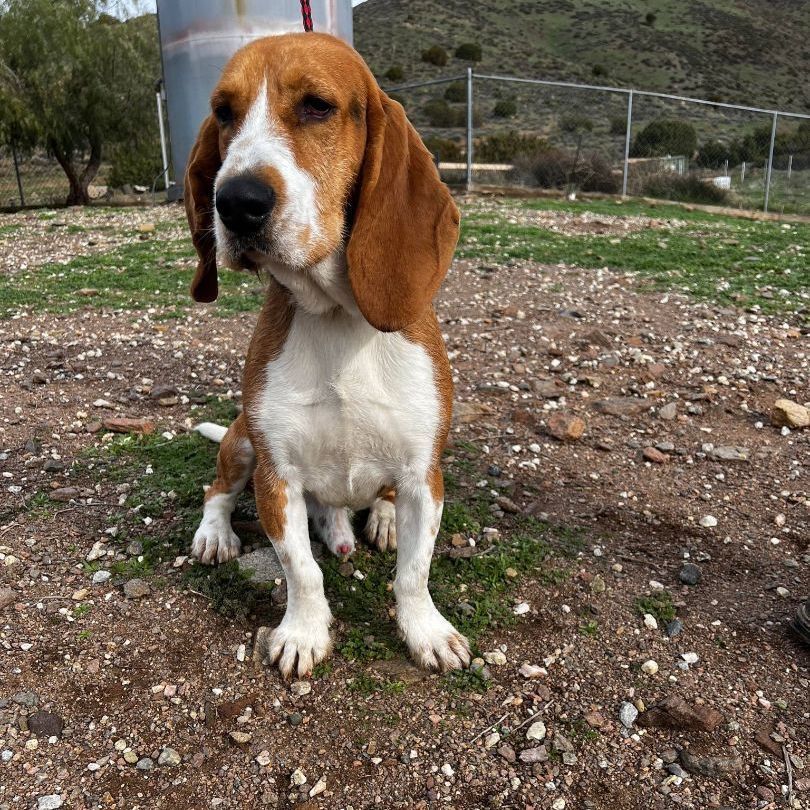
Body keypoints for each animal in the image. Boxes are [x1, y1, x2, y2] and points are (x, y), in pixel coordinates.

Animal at [182, 33, 468, 676]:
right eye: (223, 113)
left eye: (317, 106)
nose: (235, 201)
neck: (337, 318)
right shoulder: (277, 477)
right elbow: (302, 570)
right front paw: (303, 632)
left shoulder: (424, 476)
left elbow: (413, 575)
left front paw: (426, 631)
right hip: (242, 441)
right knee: (216, 492)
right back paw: (216, 534)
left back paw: (379, 517)